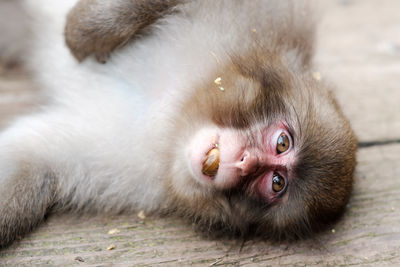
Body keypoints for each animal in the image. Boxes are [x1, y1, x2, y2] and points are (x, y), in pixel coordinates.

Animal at [0, 0, 356, 248]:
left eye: (275, 183)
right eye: (283, 142)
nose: (245, 162)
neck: (174, 109)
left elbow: (31, 160)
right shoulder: (254, 23)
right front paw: (83, 33)